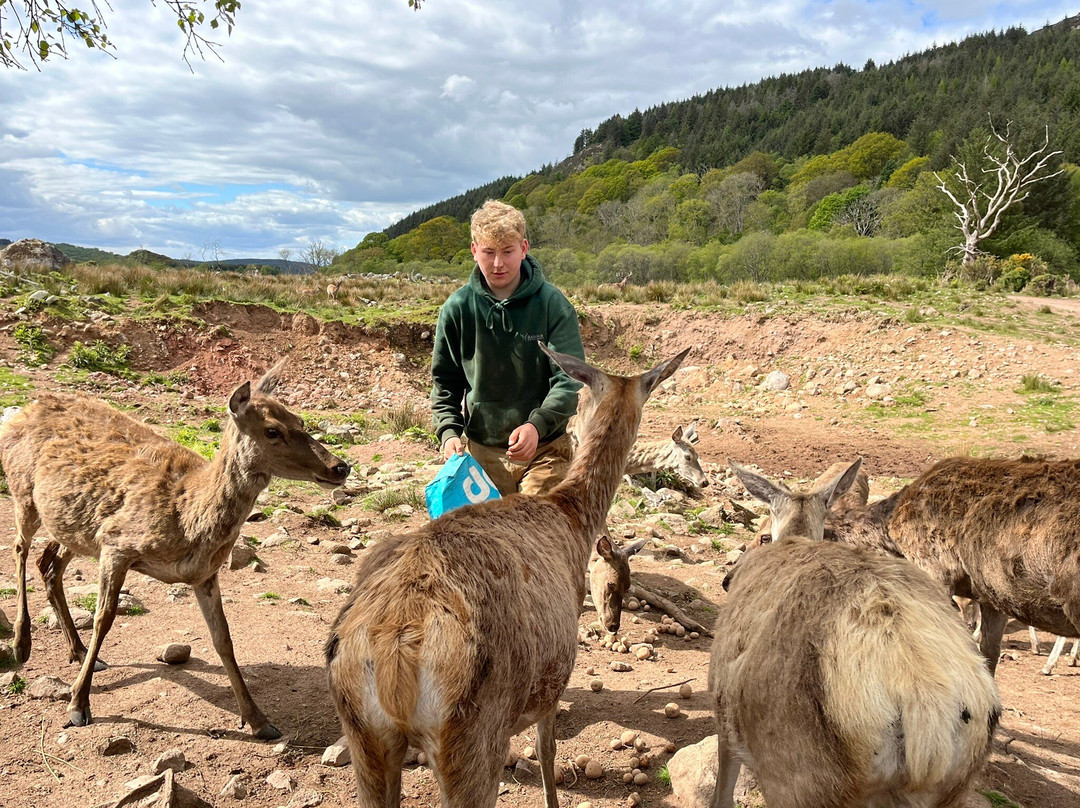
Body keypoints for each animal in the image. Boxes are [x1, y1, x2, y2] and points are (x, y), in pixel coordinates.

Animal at [0, 359, 351, 738]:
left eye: (299, 419)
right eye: (272, 430)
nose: (340, 466)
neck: (187, 518)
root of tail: (21, 411)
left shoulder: (203, 573)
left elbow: (223, 638)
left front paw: (259, 720)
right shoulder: (116, 544)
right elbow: (103, 620)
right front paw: (78, 705)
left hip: (75, 527)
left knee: (49, 563)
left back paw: (76, 650)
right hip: (23, 492)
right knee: (20, 548)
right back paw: (21, 643)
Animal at [325, 344, 689, 808]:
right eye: (612, 585)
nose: (613, 625)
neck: (571, 518)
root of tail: (394, 644)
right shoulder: (555, 676)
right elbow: (548, 749)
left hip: (364, 736)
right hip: (473, 733)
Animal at [713, 459, 1001, 808]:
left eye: (763, 535)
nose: (727, 579)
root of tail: (924, 700)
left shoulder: (722, 712)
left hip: (799, 783)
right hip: (953, 789)